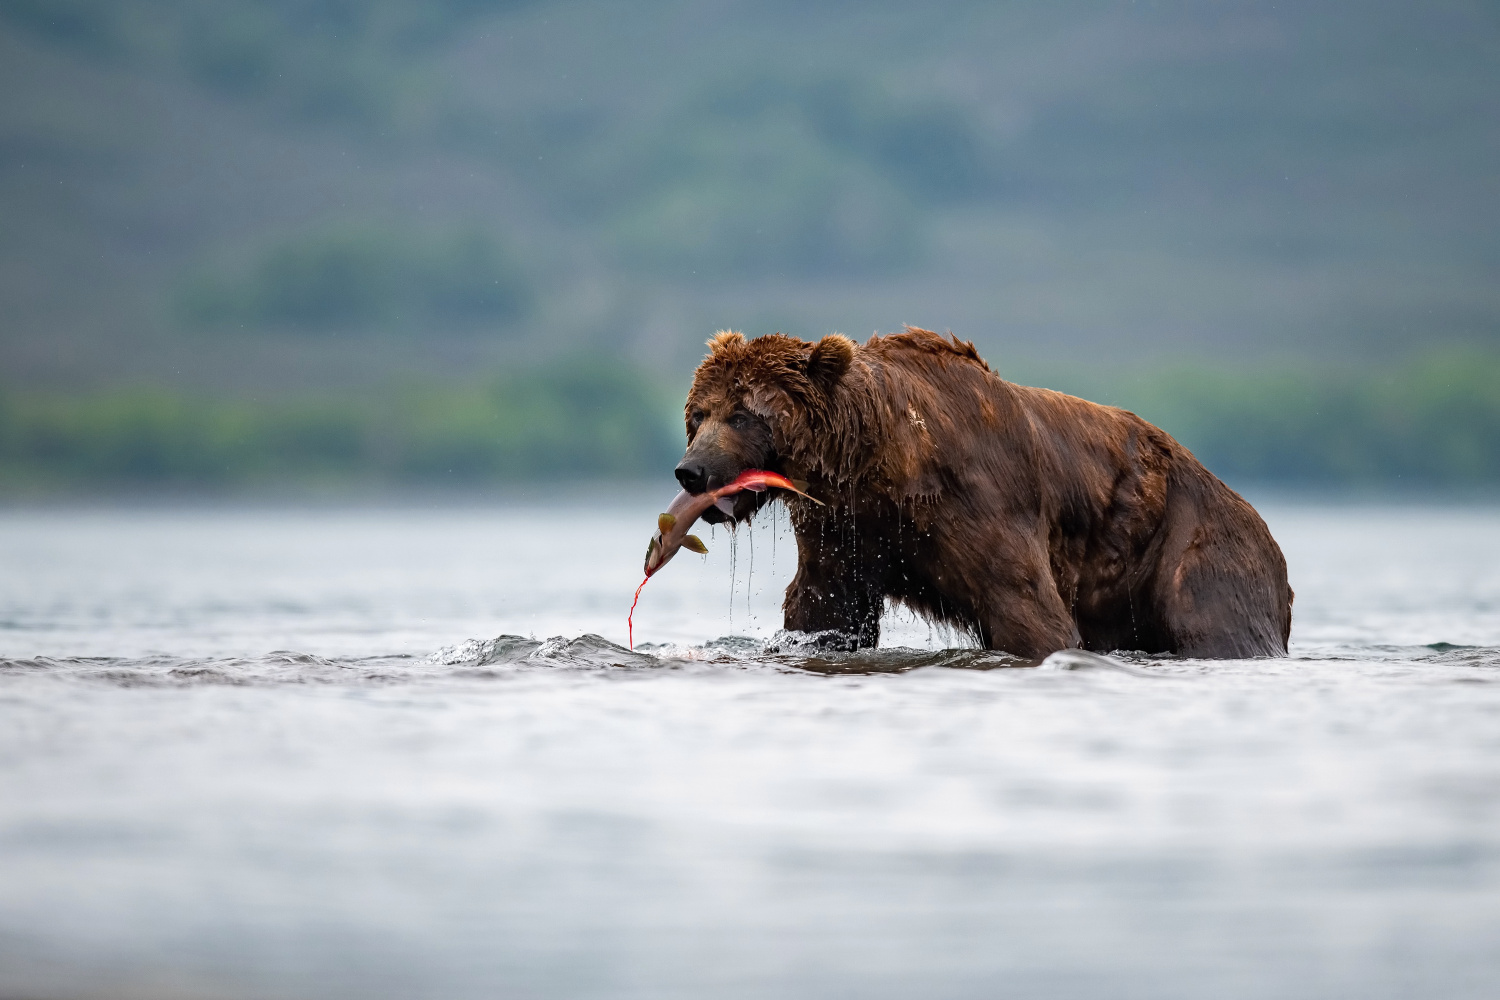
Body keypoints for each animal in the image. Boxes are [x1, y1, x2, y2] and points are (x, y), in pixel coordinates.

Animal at [678, 325, 1290, 659]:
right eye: (699, 414)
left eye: (742, 414)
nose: (691, 472)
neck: (884, 463)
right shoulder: (845, 528)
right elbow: (825, 611)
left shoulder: (980, 502)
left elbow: (1028, 610)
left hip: (1194, 547)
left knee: (1218, 622)